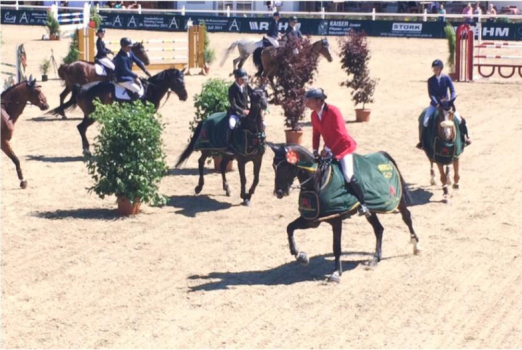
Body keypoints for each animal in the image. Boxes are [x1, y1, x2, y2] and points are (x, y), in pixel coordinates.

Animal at [47, 68, 187, 152]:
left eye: (183, 80)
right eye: (177, 81)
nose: (185, 96)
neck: (151, 89)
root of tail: (81, 87)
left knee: (81, 128)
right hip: (92, 115)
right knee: (81, 127)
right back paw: (86, 150)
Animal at [266, 144, 420, 284]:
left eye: (287, 167)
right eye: (274, 166)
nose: (279, 192)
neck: (319, 181)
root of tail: (382, 154)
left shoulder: (336, 219)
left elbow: (336, 247)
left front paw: (335, 273)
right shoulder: (313, 220)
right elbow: (289, 228)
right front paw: (300, 256)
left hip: (397, 201)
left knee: (407, 217)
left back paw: (416, 246)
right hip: (371, 211)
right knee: (379, 229)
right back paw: (375, 259)